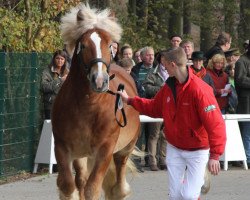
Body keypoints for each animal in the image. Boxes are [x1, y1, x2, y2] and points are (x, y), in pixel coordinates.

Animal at [52, 3, 141, 200]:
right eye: (83, 45)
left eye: (110, 45)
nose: (99, 80)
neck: (88, 105)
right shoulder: (63, 148)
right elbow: (67, 185)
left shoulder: (105, 150)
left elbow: (92, 188)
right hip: (82, 155)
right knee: (81, 180)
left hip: (124, 150)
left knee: (118, 184)